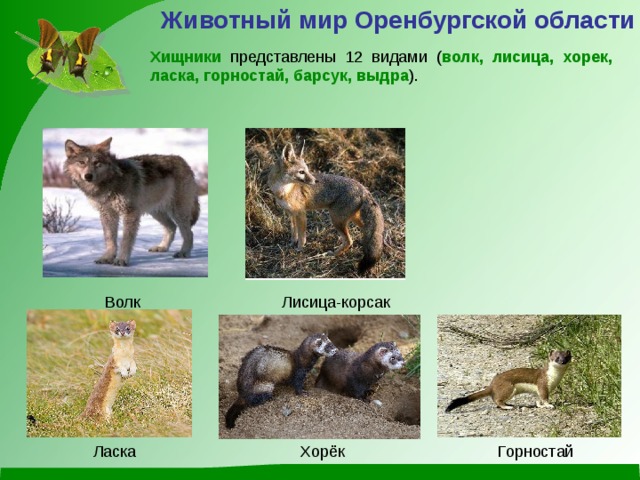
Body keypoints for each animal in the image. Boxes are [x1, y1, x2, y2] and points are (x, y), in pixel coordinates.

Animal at [64, 137, 200, 266]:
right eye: (81, 162)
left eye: (97, 163)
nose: (88, 176)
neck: (109, 183)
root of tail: (183, 161)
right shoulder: (107, 214)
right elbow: (110, 239)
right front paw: (107, 257)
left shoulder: (130, 212)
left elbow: (126, 240)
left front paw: (121, 260)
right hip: (156, 212)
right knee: (171, 227)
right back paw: (162, 247)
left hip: (178, 212)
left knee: (189, 233)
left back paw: (184, 252)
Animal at [268, 143, 384, 275]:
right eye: (301, 172)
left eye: (307, 170)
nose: (316, 181)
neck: (283, 190)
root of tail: (364, 189)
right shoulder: (290, 213)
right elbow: (294, 231)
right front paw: (292, 243)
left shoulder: (301, 214)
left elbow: (302, 236)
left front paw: (299, 249)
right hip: (351, 219)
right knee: (367, 234)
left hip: (336, 220)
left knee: (349, 240)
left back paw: (333, 254)